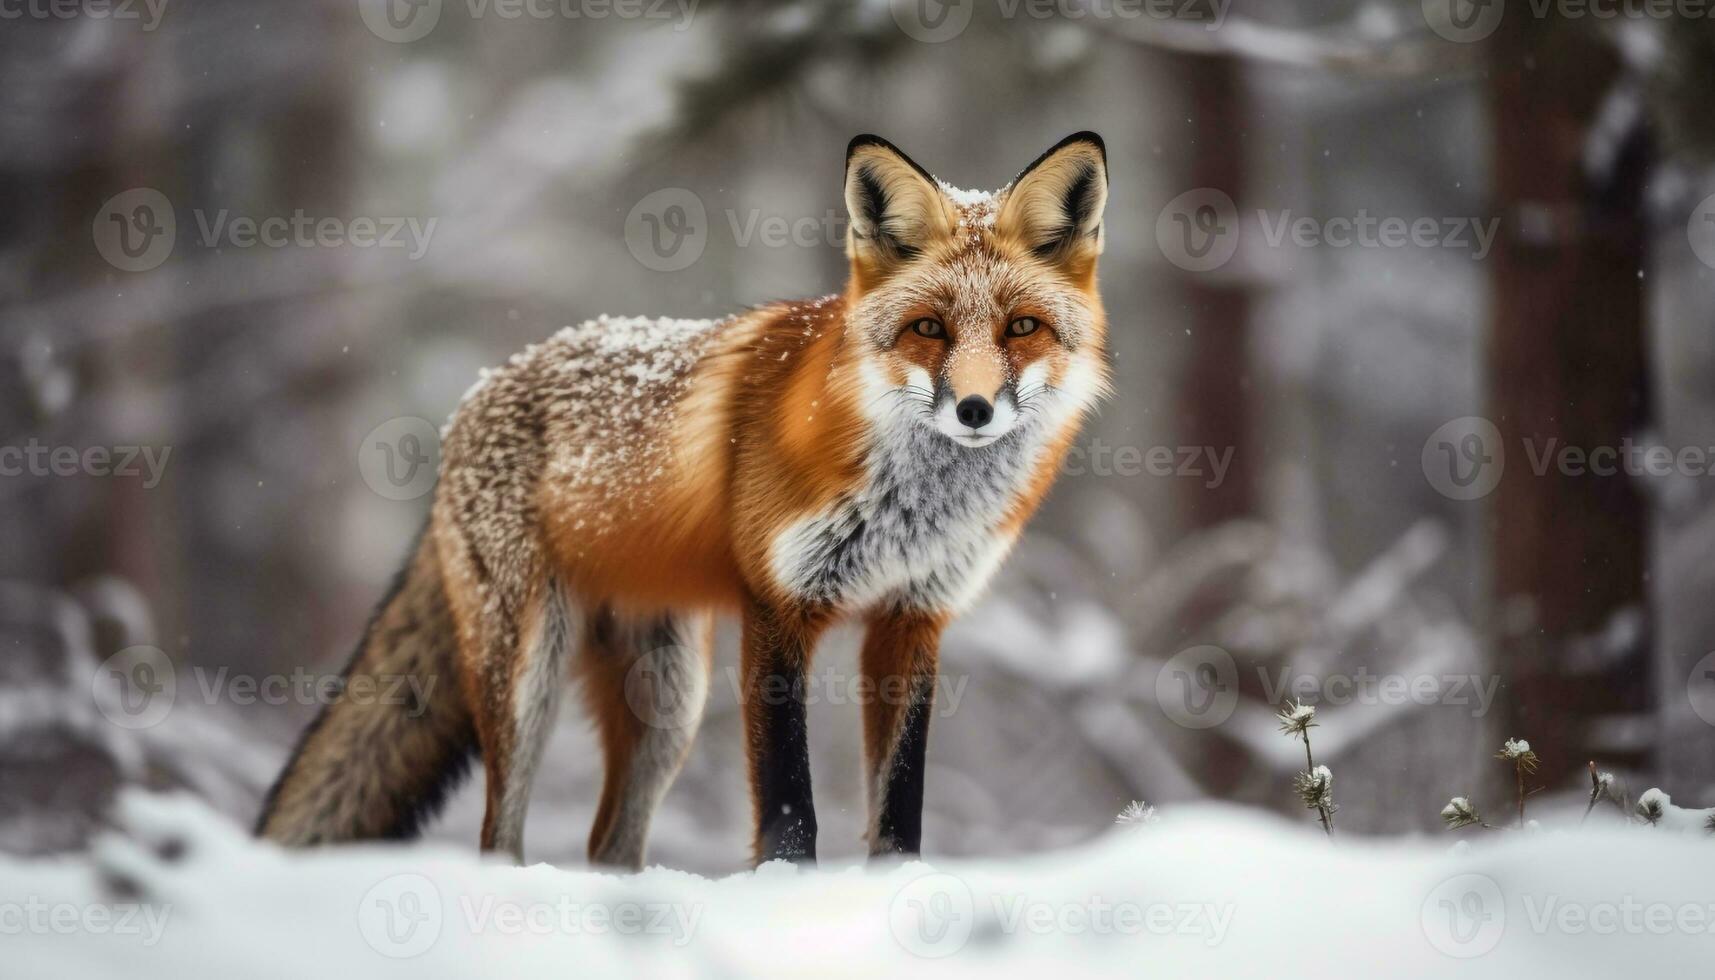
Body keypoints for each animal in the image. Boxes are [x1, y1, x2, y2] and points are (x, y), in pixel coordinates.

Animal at [253, 130, 1111, 865]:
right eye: (928, 328)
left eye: (1021, 327)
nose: (974, 410)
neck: (915, 508)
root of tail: (479, 390)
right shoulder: (778, 606)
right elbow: (789, 805)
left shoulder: (913, 617)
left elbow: (899, 806)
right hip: (529, 673)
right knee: (500, 835)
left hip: (667, 701)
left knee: (610, 844)